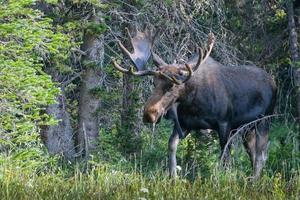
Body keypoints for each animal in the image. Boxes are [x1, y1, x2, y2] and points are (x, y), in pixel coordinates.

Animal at [112, 27, 276, 178]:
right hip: (247, 129)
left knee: (261, 156)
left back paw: (255, 180)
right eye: (154, 82)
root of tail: (273, 82)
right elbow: (171, 146)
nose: (149, 114)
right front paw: (173, 177)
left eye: (172, 85)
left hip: (264, 121)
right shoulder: (185, 124)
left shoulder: (225, 123)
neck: (193, 102)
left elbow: (225, 158)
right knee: (253, 154)